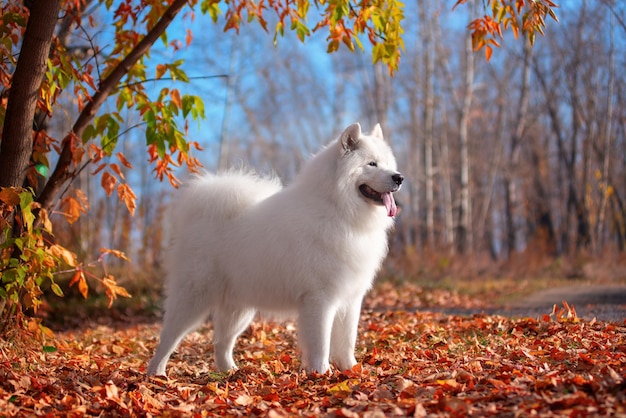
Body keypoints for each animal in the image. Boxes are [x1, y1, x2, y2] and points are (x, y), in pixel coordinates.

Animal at [147, 123, 402, 376]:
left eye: (388, 164)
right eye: (372, 164)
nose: (399, 178)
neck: (339, 209)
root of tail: (197, 216)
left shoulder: (350, 299)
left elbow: (347, 341)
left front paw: (352, 370)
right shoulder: (320, 299)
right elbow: (321, 344)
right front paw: (321, 374)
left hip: (240, 308)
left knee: (221, 342)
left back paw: (230, 372)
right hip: (194, 298)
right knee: (168, 338)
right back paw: (156, 374)